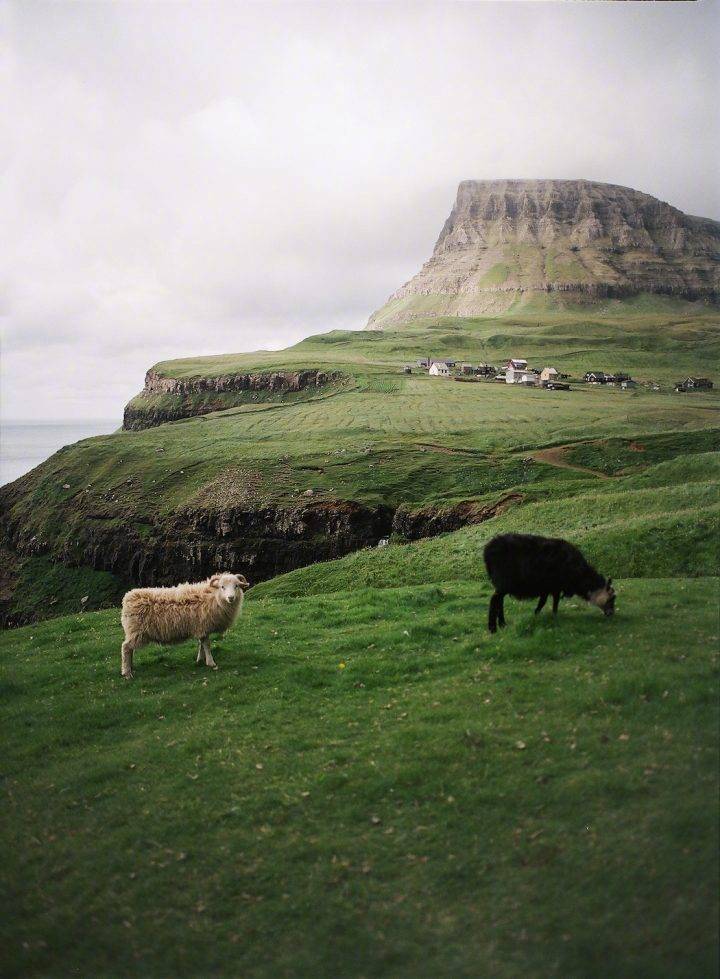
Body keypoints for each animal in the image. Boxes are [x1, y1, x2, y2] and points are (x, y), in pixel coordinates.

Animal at [119, 576, 249, 680]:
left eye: (236, 586)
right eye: (222, 587)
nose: (231, 597)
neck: (213, 597)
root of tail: (128, 597)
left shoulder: (200, 628)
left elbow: (201, 644)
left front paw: (200, 660)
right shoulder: (203, 626)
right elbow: (207, 645)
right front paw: (211, 662)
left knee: (130, 649)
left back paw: (131, 667)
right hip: (136, 632)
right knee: (126, 648)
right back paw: (127, 673)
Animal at [480, 536, 616, 636]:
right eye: (612, 598)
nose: (611, 614)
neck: (580, 576)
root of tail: (487, 551)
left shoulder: (548, 588)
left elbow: (543, 602)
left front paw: (537, 615)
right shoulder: (555, 586)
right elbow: (553, 603)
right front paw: (554, 617)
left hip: (503, 585)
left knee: (499, 601)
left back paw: (502, 624)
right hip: (503, 581)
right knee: (495, 600)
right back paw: (492, 628)